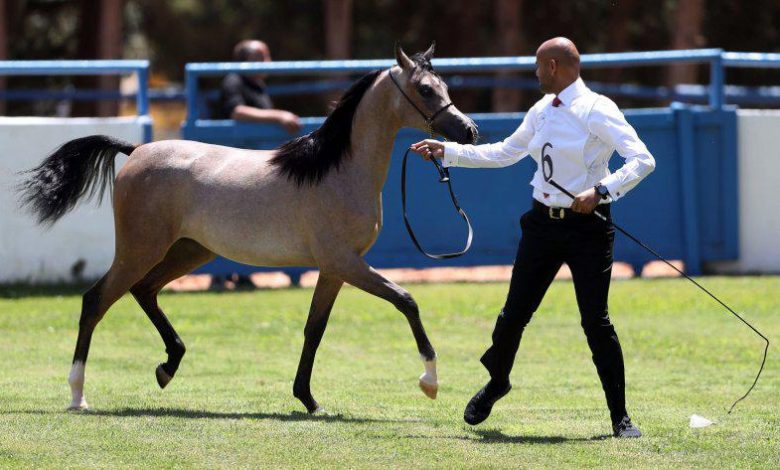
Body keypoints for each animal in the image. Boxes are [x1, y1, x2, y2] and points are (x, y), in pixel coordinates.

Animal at [18, 42, 478, 414]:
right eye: (425, 89)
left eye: (443, 85)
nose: (468, 130)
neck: (336, 170)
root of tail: (137, 151)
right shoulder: (346, 263)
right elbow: (406, 301)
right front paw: (430, 382)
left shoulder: (333, 269)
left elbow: (314, 329)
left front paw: (308, 400)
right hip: (141, 249)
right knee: (96, 302)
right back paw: (78, 394)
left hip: (189, 250)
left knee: (144, 291)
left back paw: (168, 366)